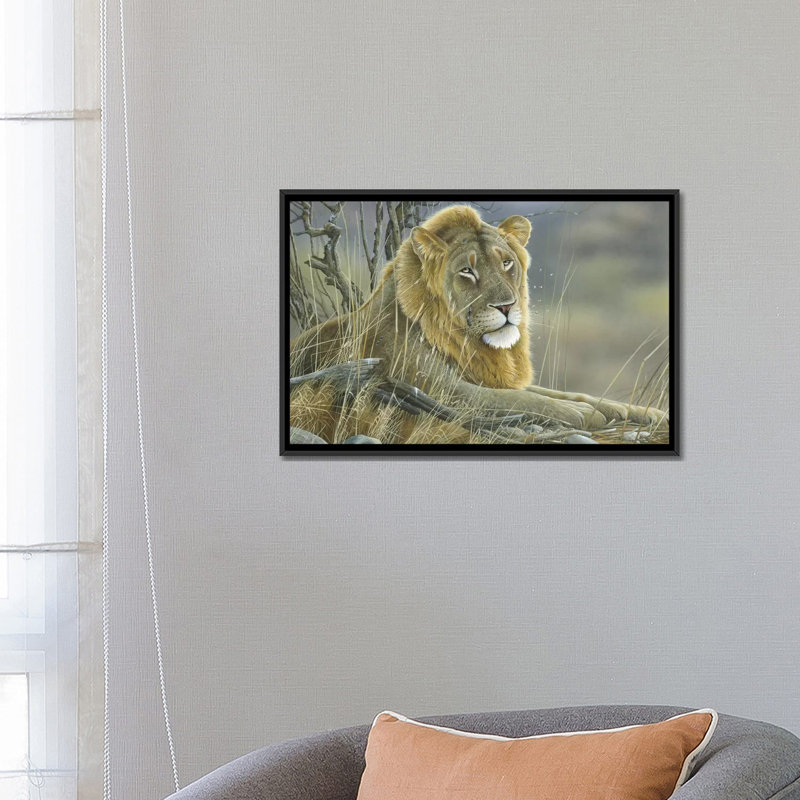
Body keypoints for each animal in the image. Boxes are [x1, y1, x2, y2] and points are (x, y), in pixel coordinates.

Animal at [290, 204, 667, 443]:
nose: (507, 306)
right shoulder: (439, 387)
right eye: (467, 271)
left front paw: (648, 413)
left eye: (506, 263)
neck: (470, 343)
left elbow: (563, 392)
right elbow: (521, 401)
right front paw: (582, 414)